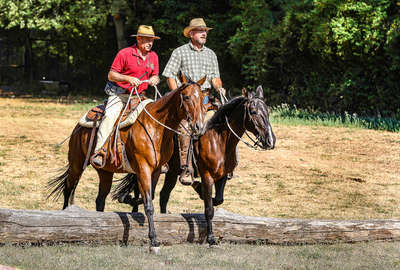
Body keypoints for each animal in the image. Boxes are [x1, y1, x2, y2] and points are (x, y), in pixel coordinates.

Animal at [47, 74, 206, 251]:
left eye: (202, 98)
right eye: (187, 97)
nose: (199, 126)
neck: (155, 127)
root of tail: (78, 126)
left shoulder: (157, 170)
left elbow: (146, 197)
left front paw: (126, 198)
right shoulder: (143, 168)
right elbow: (148, 205)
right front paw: (153, 241)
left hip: (105, 171)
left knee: (100, 199)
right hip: (76, 163)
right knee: (68, 187)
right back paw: (65, 212)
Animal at [111, 85, 276, 246]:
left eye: (267, 111)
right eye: (253, 112)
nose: (270, 140)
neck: (218, 141)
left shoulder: (222, 177)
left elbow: (218, 200)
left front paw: (198, 189)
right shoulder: (207, 175)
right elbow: (209, 209)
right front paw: (211, 238)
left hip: (171, 173)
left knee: (163, 195)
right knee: (140, 192)